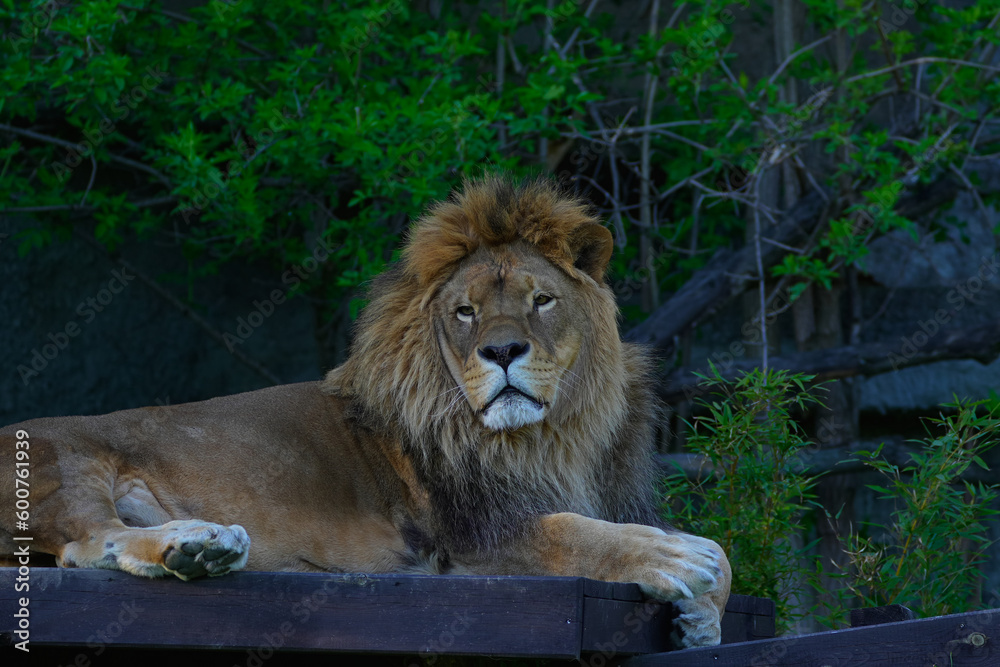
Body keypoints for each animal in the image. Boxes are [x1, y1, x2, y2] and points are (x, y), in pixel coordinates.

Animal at [0, 176, 730, 647]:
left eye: (541, 300)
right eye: (464, 311)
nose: (501, 350)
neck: (554, 435)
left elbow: (722, 556)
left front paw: (703, 619)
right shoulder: (473, 539)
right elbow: (579, 533)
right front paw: (673, 560)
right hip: (66, 458)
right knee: (86, 541)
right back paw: (202, 544)